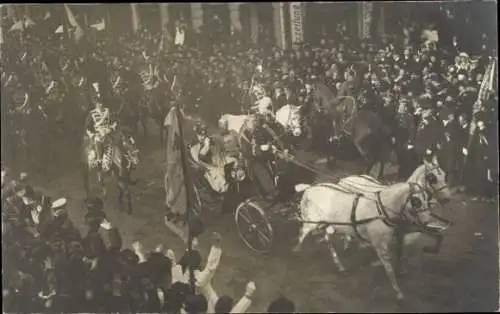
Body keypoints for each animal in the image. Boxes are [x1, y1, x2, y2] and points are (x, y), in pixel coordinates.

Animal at [292, 180, 450, 300]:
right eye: (416, 201)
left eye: (426, 198)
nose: (427, 221)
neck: (381, 210)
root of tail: (309, 188)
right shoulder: (380, 245)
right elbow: (388, 267)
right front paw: (398, 292)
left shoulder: (396, 235)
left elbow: (398, 253)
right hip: (311, 222)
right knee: (302, 234)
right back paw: (297, 252)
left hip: (330, 225)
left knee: (327, 239)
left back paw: (340, 265)